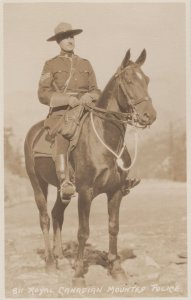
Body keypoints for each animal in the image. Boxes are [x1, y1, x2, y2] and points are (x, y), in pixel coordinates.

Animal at [24, 48, 157, 284]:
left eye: (147, 79)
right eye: (129, 80)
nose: (149, 115)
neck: (105, 140)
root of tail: (34, 132)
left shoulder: (115, 192)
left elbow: (113, 227)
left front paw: (116, 269)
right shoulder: (86, 192)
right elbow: (83, 231)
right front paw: (78, 273)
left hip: (63, 190)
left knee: (57, 214)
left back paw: (59, 256)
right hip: (38, 183)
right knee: (45, 218)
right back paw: (50, 262)